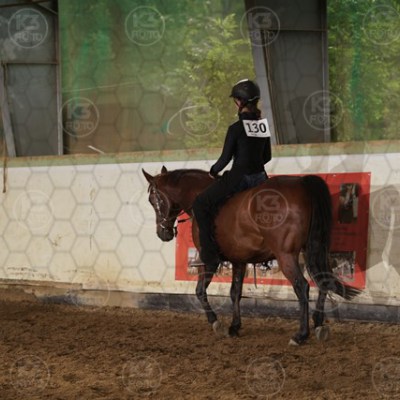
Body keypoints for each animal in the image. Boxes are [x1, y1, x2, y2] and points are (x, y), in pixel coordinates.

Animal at [142, 166, 361, 345]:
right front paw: (234, 326)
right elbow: (235, 292)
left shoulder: (209, 259)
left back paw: (301, 335)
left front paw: (216, 323)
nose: (163, 233)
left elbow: (200, 291)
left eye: (153, 200)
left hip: (286, 255)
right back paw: (318, 325)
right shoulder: (239, 260)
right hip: (313, 249)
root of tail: (301, 183)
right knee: (323, 280)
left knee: (302, 286)